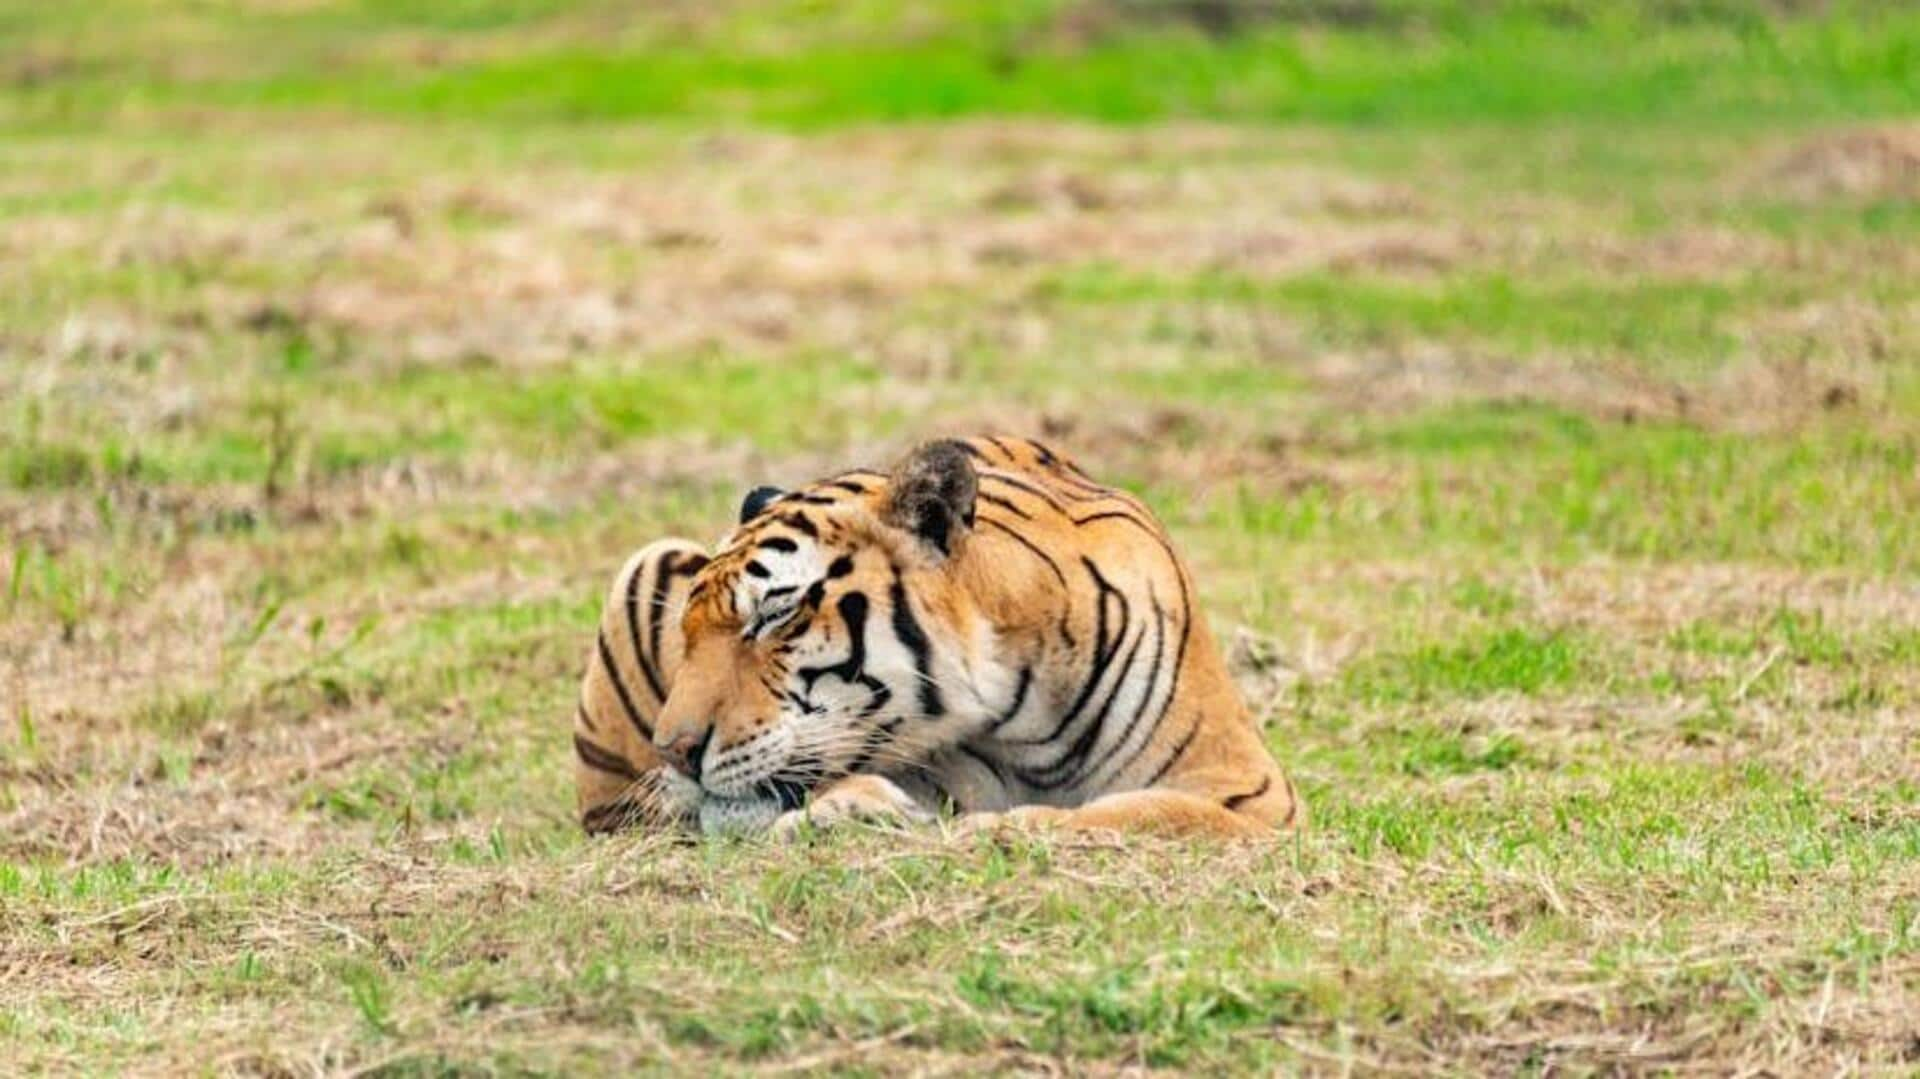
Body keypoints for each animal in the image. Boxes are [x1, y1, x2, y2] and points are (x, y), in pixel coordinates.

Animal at [560, 431, 1297, 837]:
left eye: (773, 615)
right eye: (687, 632)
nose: (675, 752)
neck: (1022, 721)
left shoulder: (1253, 794)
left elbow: (1145, 813)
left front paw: (1003, 830)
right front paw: (849, 810)